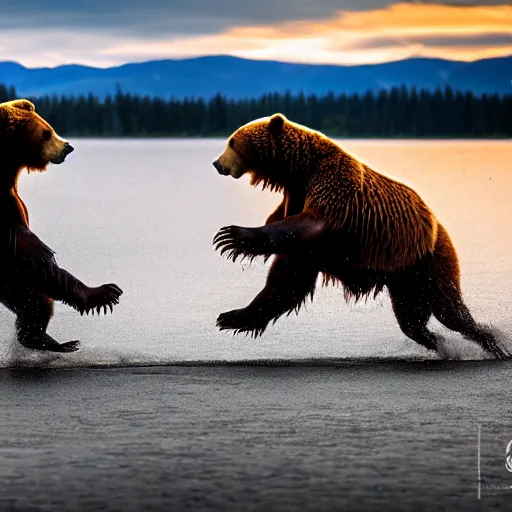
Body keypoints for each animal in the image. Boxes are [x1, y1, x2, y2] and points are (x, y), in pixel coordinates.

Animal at [0, 102, 122, 354]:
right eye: (47, 132)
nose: (68, 147)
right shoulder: (5, 214)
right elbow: (35, 255)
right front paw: (104, 292)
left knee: (35, 303)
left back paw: (52, 341)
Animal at [213, 112, 508, 360]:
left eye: (231, 141)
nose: (217, 163)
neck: (299, 169)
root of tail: (438, 224)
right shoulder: (297, 198)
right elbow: (287, 274)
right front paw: (237, 315)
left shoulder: (332, 186)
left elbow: (306, 227)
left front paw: (233, 237)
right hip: (405, 277)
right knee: (411, 319)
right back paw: (438, 342)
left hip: (429, 259)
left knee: (450, 309)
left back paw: (493, 343)